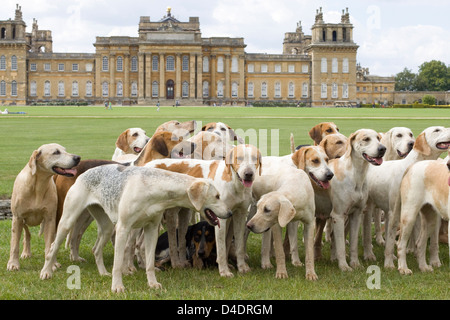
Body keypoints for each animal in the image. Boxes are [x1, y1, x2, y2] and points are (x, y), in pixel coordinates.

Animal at [7, 144, 80, 272]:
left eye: (65, 150)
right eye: (56, 152)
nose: (77, 158)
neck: (38, 186)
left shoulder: (50, 219)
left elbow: (49, 244)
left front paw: (51, 264)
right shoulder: (17, 218)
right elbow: (14, 245)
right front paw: (13, 263)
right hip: (22, 220)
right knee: (27, 234)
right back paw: (26, 252)